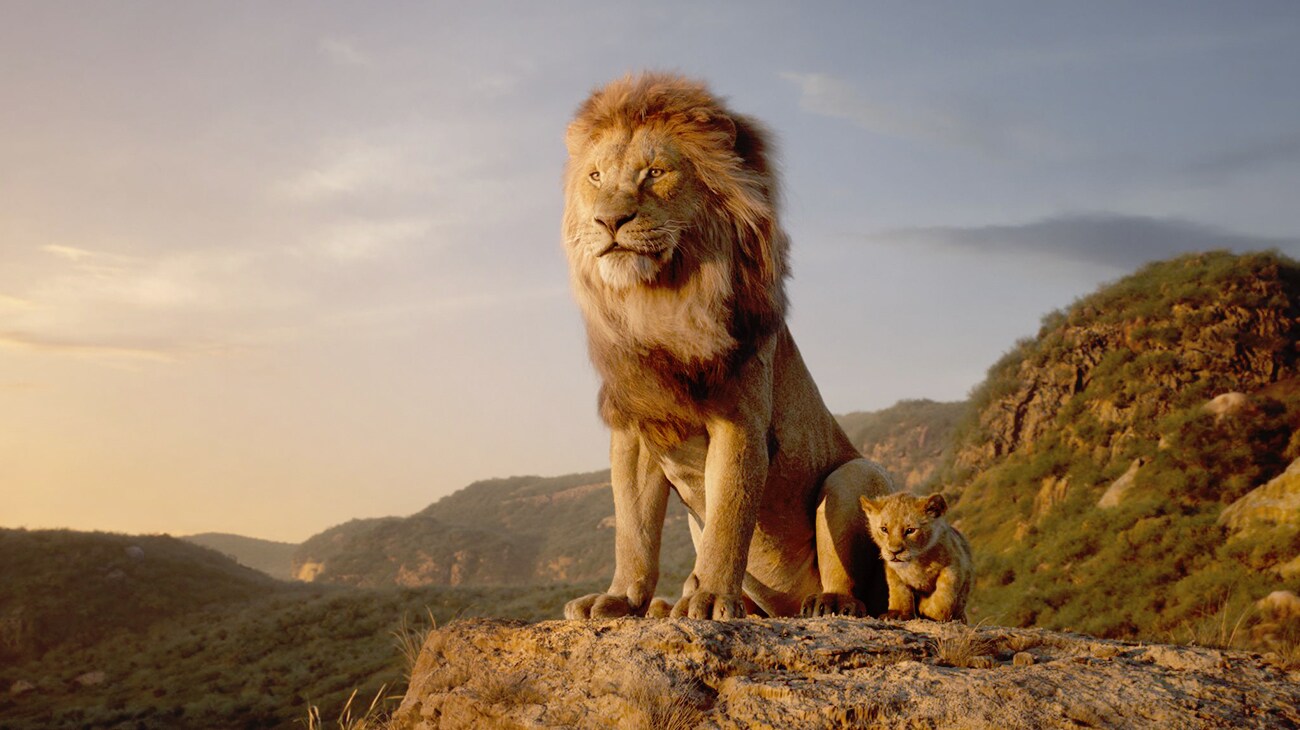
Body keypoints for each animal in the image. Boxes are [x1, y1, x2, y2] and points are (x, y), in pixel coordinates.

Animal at [559, 75, 894, 618]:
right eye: (595, 176)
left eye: (655, 173)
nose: (609, 221)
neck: (659, 303)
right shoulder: (636, 429)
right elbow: (633, 530)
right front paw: (620, 599)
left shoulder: (740, 421)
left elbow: (729, 518)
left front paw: (713, 598)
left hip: (854, 475)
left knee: (855, 584)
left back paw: (827, 603)